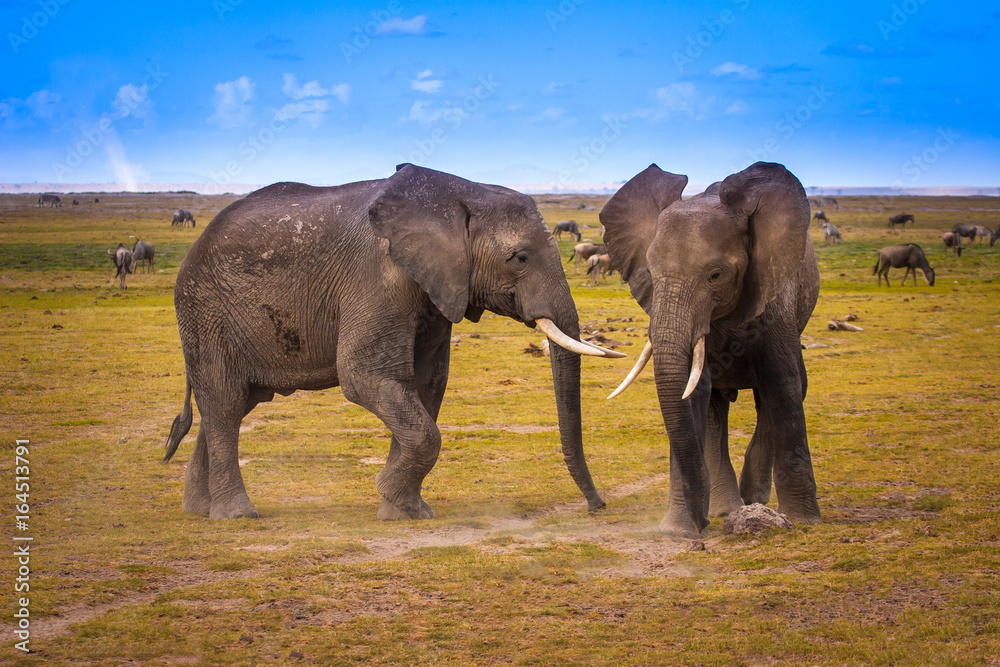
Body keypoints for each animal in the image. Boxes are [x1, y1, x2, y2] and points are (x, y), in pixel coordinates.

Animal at [162, 164, 623, 521]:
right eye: (521, 258)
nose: (596, 506)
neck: (461, 191)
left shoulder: (436, 289)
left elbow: (425, 384)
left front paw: (404, 510)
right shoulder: (377, 276)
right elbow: (366, 376)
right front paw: (389, 493)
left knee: (235, 403)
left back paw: (198, 509)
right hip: (205, 310)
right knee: (224, 400)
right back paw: (237, 515)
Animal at [600, 161, 822, 538]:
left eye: (715, 275)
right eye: (651, 273)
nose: (699, 528)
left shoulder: (776, 294)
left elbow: (783, 386)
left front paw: (806, 521)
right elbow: (693, 394)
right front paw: (677, 530)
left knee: (779, 394)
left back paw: (752, 497)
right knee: (717, 408)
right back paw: (727, 507)